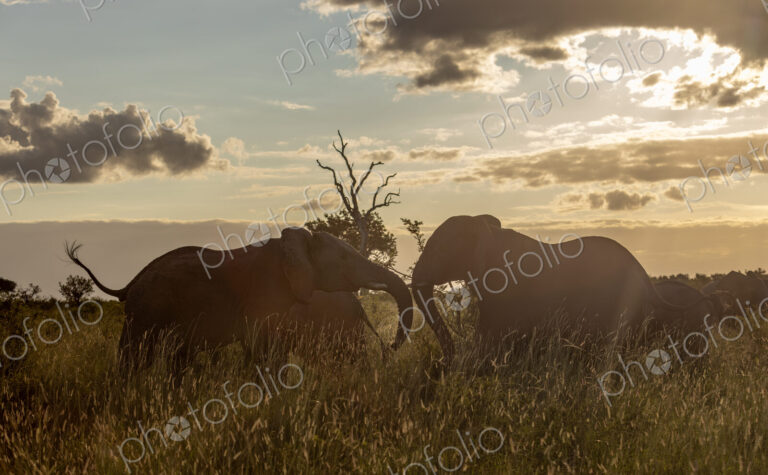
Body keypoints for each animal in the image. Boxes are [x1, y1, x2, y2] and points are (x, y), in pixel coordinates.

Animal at [65, 228, 412, 373]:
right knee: (136, 356)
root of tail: (131, 282)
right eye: (342, 258)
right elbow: (263, 349)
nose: (391, 346)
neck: (291, 244)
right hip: (145, 310)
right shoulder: (265, 293)